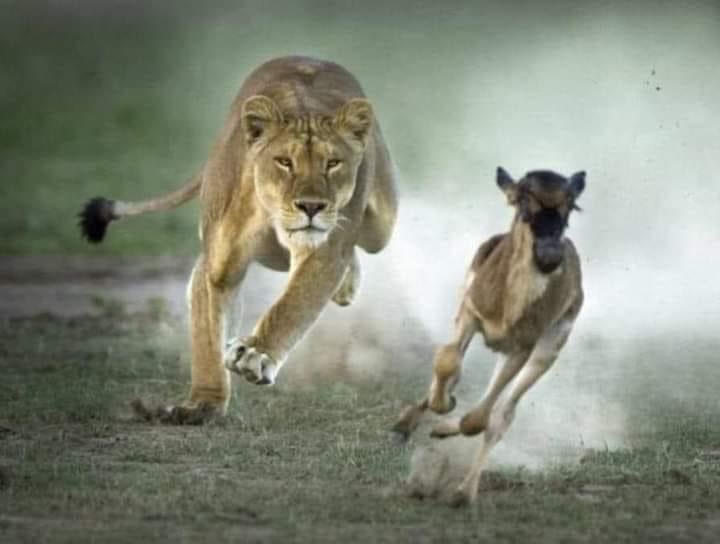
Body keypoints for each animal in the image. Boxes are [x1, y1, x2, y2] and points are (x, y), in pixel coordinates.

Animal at [79, 56, 398, 423]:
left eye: (333, 163)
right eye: (284, 162)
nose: (311, 207)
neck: (274, 215)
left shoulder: (324, 251)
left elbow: (293, 304)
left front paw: (256, 354)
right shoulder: (219, 264)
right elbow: (207, 333)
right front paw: (202, 405)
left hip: (381, 224)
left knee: (361, 243)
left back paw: (345, 285)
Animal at [393, 167, 586, 506]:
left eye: (571, 206)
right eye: (522, 200)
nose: (550, 256)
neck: (506, 311)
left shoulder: (524, 346)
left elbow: (481, 419)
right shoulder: (470, 309)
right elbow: (446, 360)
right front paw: (440, 405)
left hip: (549, 347)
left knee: (502, 414)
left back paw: (462, 488)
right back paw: (410, 423)